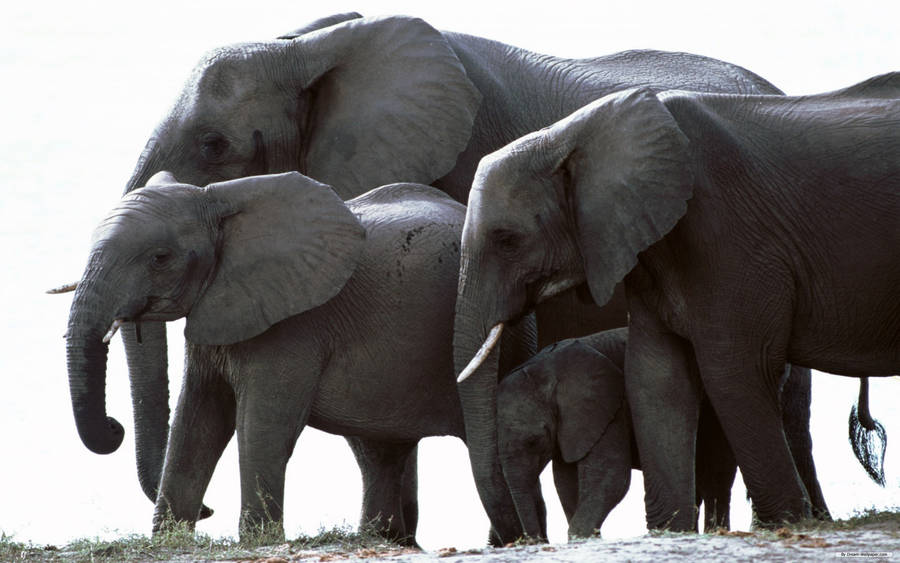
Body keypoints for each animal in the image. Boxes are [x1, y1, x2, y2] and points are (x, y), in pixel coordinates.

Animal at [64, 171, 534, 543]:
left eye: (160, 258)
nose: (114, 427)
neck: (217, 198)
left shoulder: (292, 325)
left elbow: (263, 425)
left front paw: (257, 541)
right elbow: (197, 420)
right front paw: (169, 540)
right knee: (380, 451)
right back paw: (381, 539)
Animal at [454, 72, 899, 531]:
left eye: (507, 240)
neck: (571, 133)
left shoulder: (727, 232)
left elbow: (733, 367)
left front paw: (786, 523)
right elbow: (656, 375)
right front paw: (670, 528)